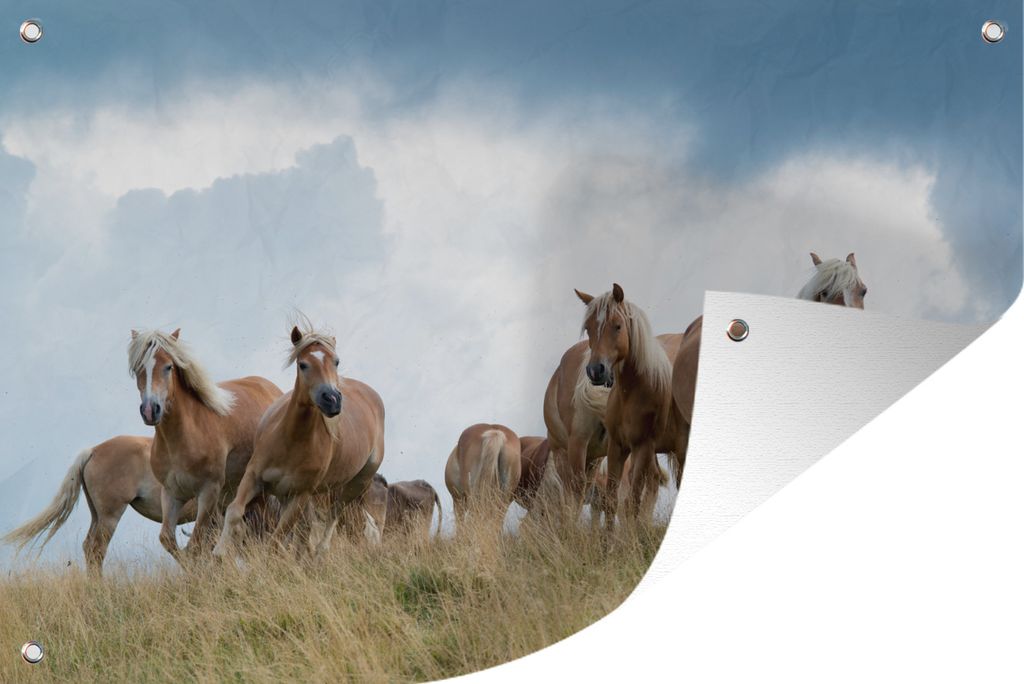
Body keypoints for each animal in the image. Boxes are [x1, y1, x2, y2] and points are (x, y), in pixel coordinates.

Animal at [128, 329, 282, 561]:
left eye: (168, 366)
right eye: (138, 368)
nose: (149, 410)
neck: (183, 438)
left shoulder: (209, 492)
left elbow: (196, 543)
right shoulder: (172, 493)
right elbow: (168, 539)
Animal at [214, 324, 385, 560]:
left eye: (336, 361)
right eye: (302, 364)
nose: (332, 400)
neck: (291, 440)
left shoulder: (300, 495)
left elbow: (278, 535)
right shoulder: (253, 477)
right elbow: (234, 511)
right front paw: (218, 553)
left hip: (357, 483)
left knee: (335, 513)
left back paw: (320, 552)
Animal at [575, 284, 686, 526]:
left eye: (617, 326)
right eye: (588, 329)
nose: (596, 370)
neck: (633, 391)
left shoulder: (642, 447)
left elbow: (632, 501)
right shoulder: (618, 447)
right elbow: (612, 501)